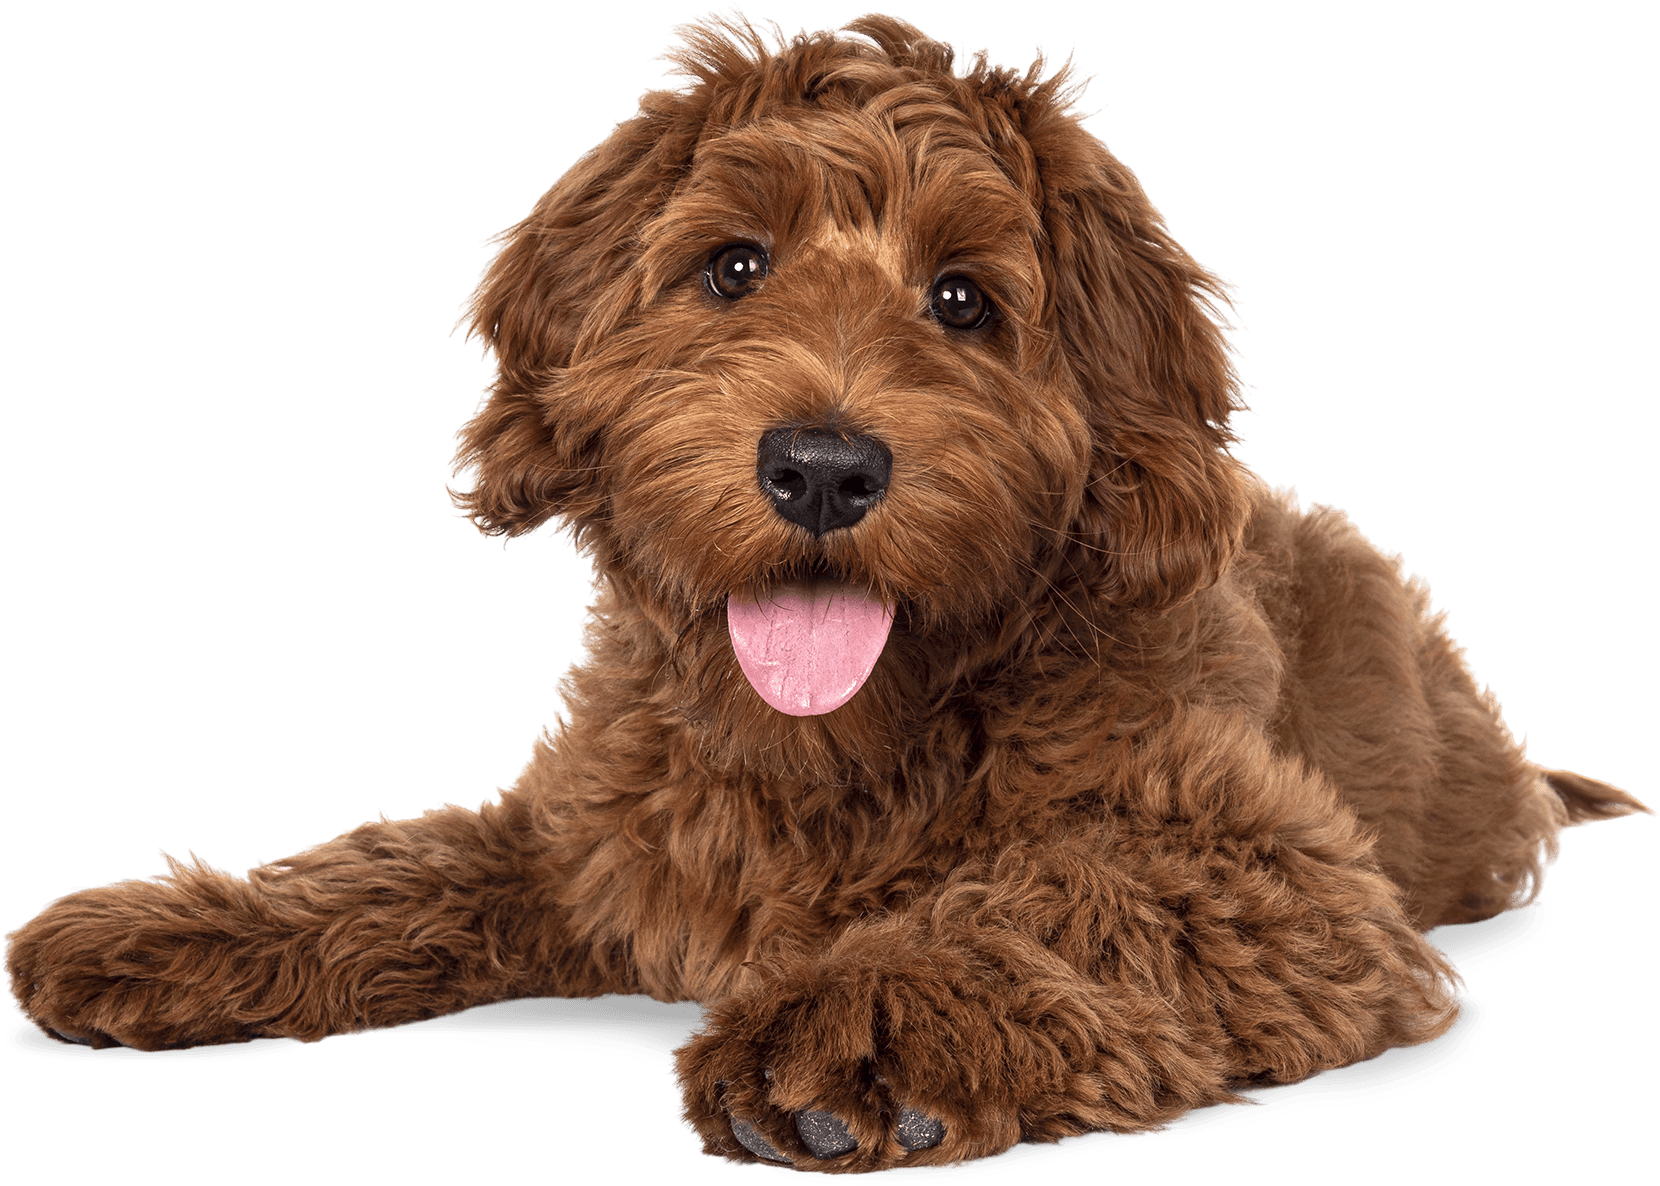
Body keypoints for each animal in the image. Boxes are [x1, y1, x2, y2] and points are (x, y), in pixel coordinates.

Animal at [6, 9, 1653, 1176]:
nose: (819, 466)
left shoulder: (1281, 880)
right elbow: (394, 869)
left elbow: (1082, 886)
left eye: (965, 300)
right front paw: (173, 931)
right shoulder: (591, 846)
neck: (836, 750)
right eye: (733, 265)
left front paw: (866, 1022)